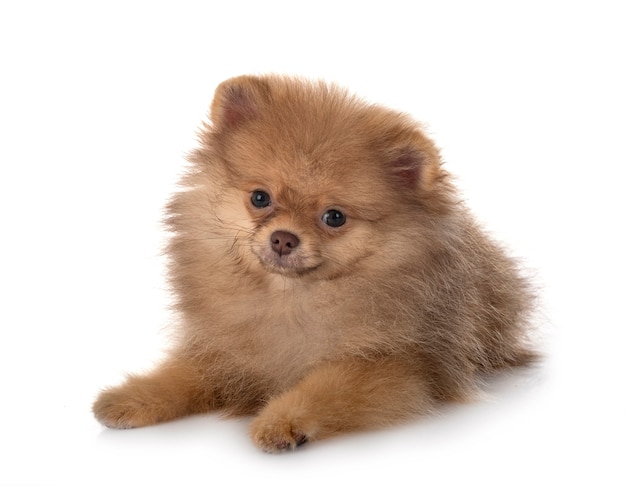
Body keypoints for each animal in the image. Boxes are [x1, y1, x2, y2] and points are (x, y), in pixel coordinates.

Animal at [91, 74, 532, 450]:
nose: (283, 238)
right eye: (260, 198)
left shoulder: (399, 366)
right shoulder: (222, 350)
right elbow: (180, 374)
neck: (289, 299)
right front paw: (133, 396)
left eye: (333, 217)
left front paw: (282, 420)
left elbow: (326, 386)